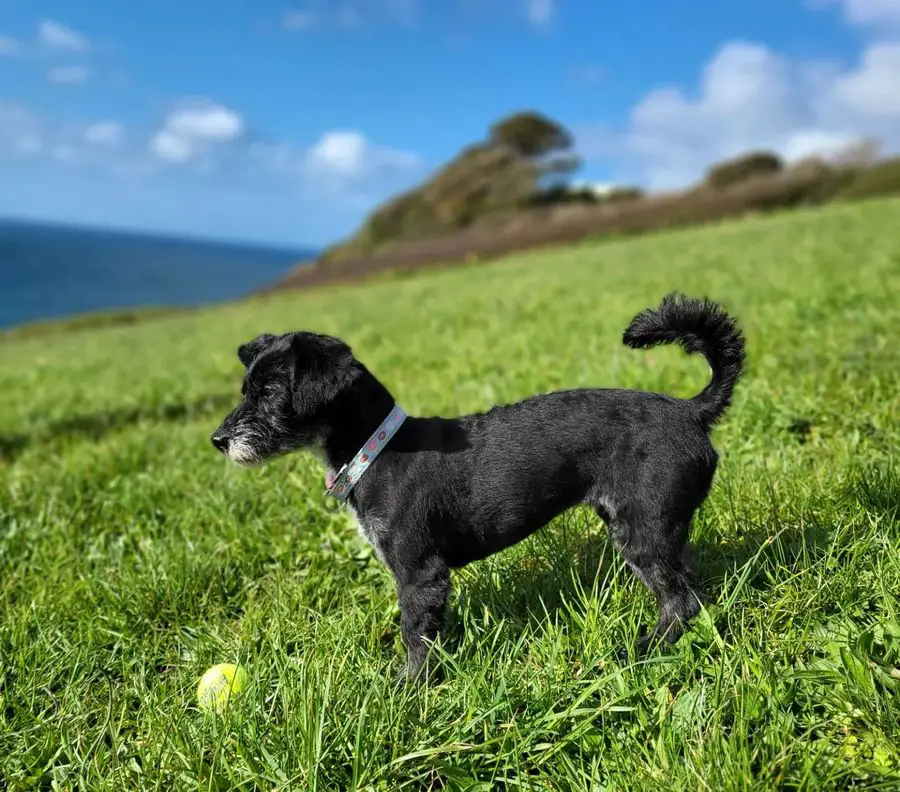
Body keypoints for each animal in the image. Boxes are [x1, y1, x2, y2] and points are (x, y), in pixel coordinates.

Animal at [211, 290, 744, 680]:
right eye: (244, 390)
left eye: (270, 394)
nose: (218, 440)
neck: (377, 450)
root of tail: (690, 410)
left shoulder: (420, 573)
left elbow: (414, 637)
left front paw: (407, 691)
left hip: (642, 529)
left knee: (682, 600)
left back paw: (642, 650)